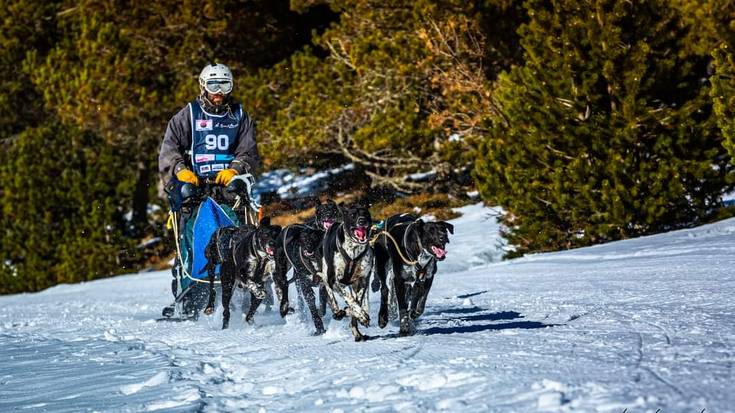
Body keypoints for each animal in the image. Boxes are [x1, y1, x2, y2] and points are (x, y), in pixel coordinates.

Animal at [320, 201, 374, 340]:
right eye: (352, 215)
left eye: (366, 213)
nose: (362, 220)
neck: (353, 251)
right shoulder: (336, 281)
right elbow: (350, 300)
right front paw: (360, 315)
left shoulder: (362, 280)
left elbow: (357, 302)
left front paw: (359, 315)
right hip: (327, 277)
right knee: (333, 300)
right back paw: (338, 312)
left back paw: (356, 330)